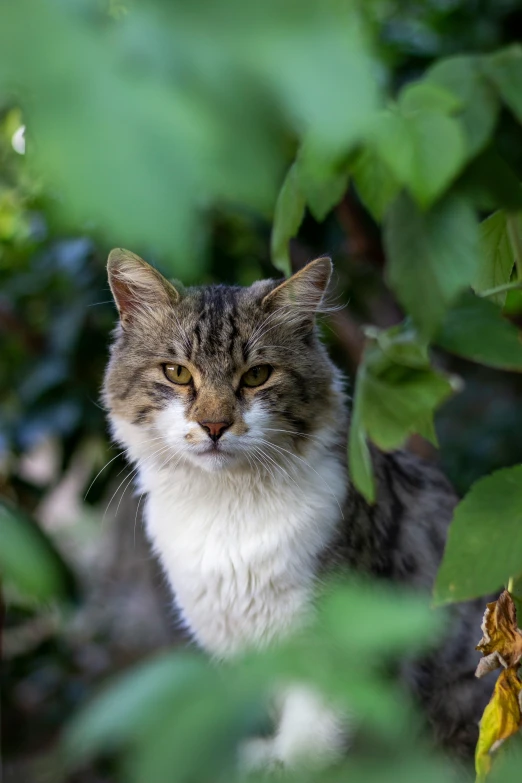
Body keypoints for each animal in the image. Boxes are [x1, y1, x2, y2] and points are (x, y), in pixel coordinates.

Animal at [102, 248, 492, 768]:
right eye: (178, 373)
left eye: (256, 376)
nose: (214, 426)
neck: (226, 507)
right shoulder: (230, 641)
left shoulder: (335, 634)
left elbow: (311, 736)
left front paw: (286, 763)